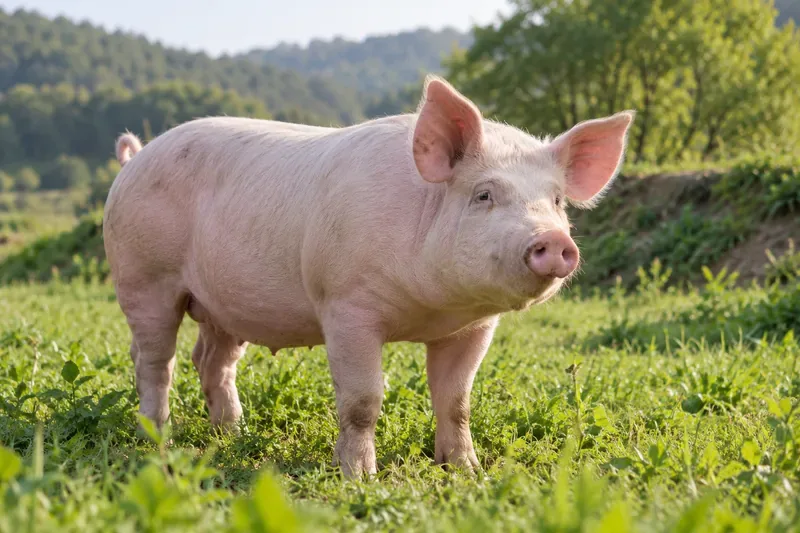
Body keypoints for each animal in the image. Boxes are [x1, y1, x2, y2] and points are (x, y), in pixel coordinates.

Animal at [103, 75, 634, 478]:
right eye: (484, 194)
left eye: (557, 201)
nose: (555, 241)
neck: (431, 309)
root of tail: (135, 159)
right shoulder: (345, 305)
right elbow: (362, 399)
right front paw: (360, 476)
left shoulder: (474, 327)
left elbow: (457, 401)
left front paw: (467, 471)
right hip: (143, 278)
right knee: (155, 361)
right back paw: (157, 437)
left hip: (223, 305)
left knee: (211, 361)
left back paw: (233, 434)